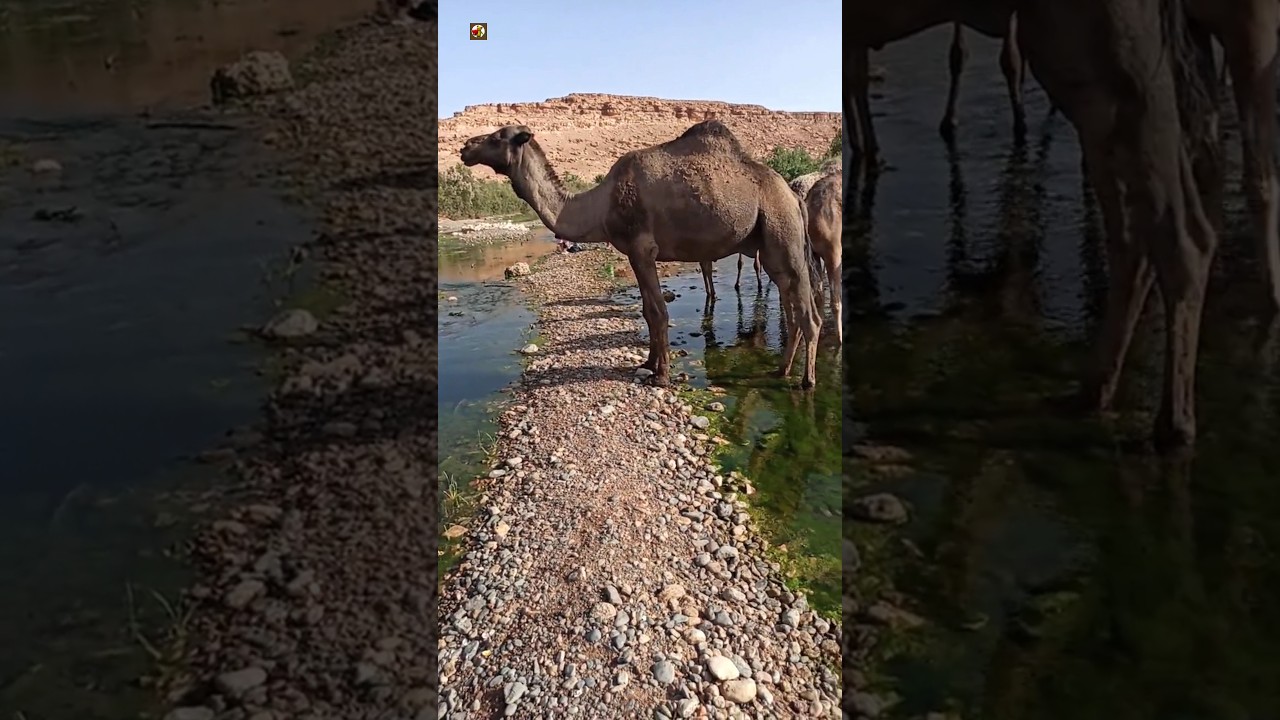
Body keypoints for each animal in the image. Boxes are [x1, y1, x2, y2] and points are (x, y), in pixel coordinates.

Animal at [459, 120, 823, 388]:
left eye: (496, 137)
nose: (465, 147)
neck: (599, 205)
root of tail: (793, 195)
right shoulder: (633, 254)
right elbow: (648, 311)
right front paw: (647, 363)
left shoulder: (641, 248)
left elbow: (658, 311)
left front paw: (661, 376)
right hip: (769, 245)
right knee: (793, 303)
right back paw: (781, 371)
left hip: (783, 230)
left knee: (809, 313)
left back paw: (806, 382)